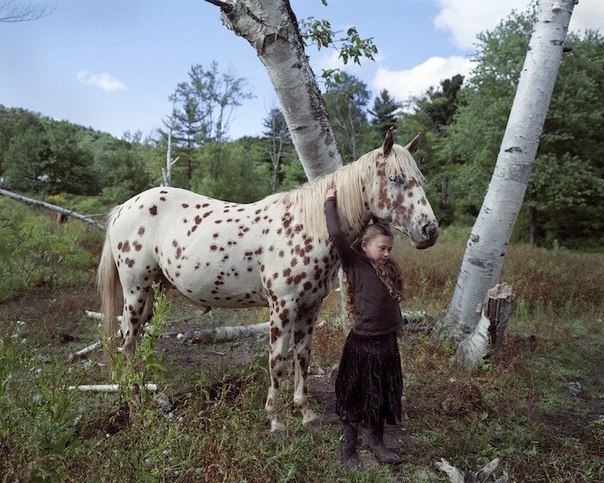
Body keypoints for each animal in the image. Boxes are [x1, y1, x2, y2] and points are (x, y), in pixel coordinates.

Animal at [98, 127, 438, 432]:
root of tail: (123, 208)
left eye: (420, 180)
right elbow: (277, 359)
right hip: (135, 291)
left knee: (135, 343)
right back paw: (134, 407)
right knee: (127, 341)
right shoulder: (282, 307)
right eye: (395, 179)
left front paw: (306, 413)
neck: (308, 227)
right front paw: (275, 419)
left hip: (150, 293)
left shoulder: (310, 308)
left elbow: (302, 356)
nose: (429, 231)